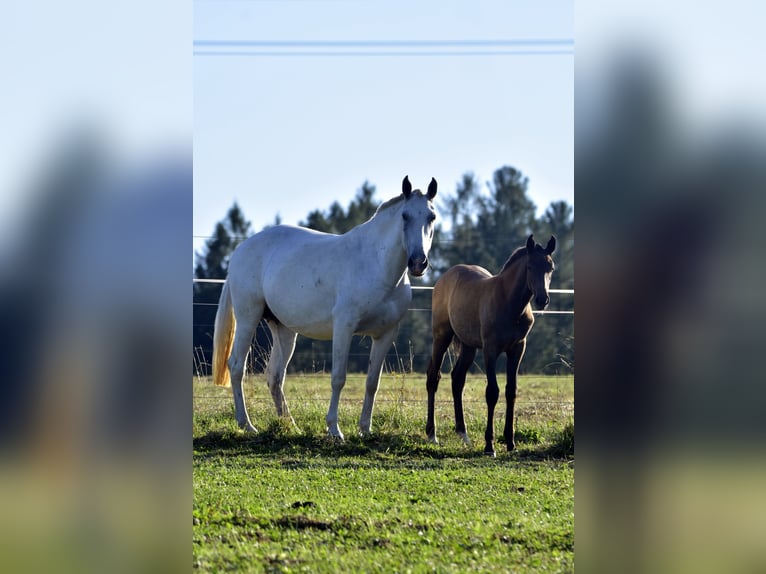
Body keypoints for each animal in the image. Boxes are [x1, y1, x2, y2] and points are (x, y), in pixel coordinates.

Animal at [213, 176, 438, 440]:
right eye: (405, 215)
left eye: (432, 216)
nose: (418, 263)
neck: (375, 264)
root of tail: (241, 250)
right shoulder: (344, 328)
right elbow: (338, 378)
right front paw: (334, 429)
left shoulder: (386, 334)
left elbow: (373, 382)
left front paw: (365, 429)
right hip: (248, 319)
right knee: (237, 366)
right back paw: (246, 424)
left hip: (284, 330)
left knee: (275, 376)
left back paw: (290, 425)